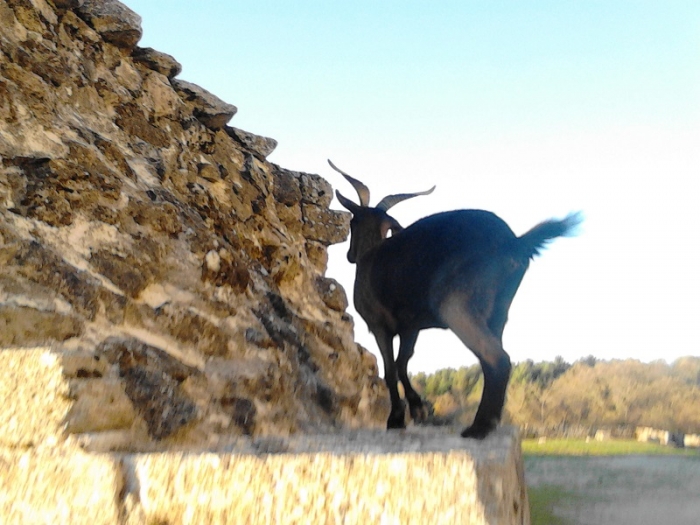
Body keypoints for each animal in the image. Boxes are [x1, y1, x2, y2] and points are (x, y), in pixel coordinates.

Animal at [330, 159, 580, 439]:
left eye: (353, 222)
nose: (351, 256)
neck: (370, 255)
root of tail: (515, 242)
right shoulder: (410, 327)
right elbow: (403, 362)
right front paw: (418, 409)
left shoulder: (378, 325)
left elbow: (390, 368)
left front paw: (396, 419)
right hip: (498, 311)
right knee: (490, 359)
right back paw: (487, 421)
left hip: (456, 306)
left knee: (497, 358)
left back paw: (478, 428)